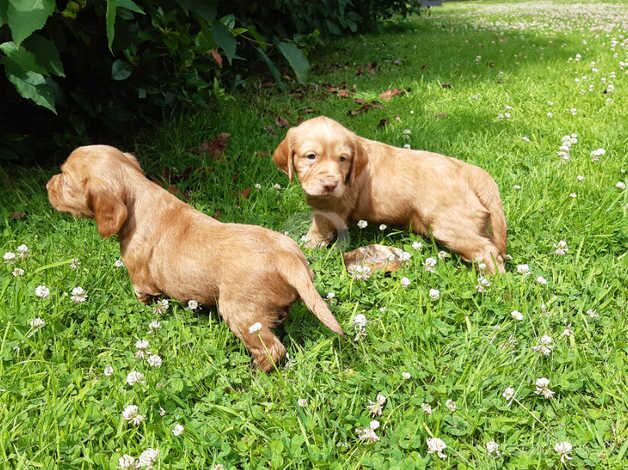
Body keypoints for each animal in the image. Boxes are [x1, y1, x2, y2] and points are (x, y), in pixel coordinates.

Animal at [47, 145, 344, 372]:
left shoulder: (141, 280)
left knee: (272, 349)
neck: (140, 197)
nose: (47, 185)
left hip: (241, 313)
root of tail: (287, 256)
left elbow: (144, 297)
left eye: (65, 178)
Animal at [272, 115, 508, 274]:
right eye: (311, 156)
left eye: (343, 159)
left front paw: (305, 248)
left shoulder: (330, 208)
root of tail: (471, 171)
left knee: (488, 252)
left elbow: (317, 232)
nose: (330, 184)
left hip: (451, 225)